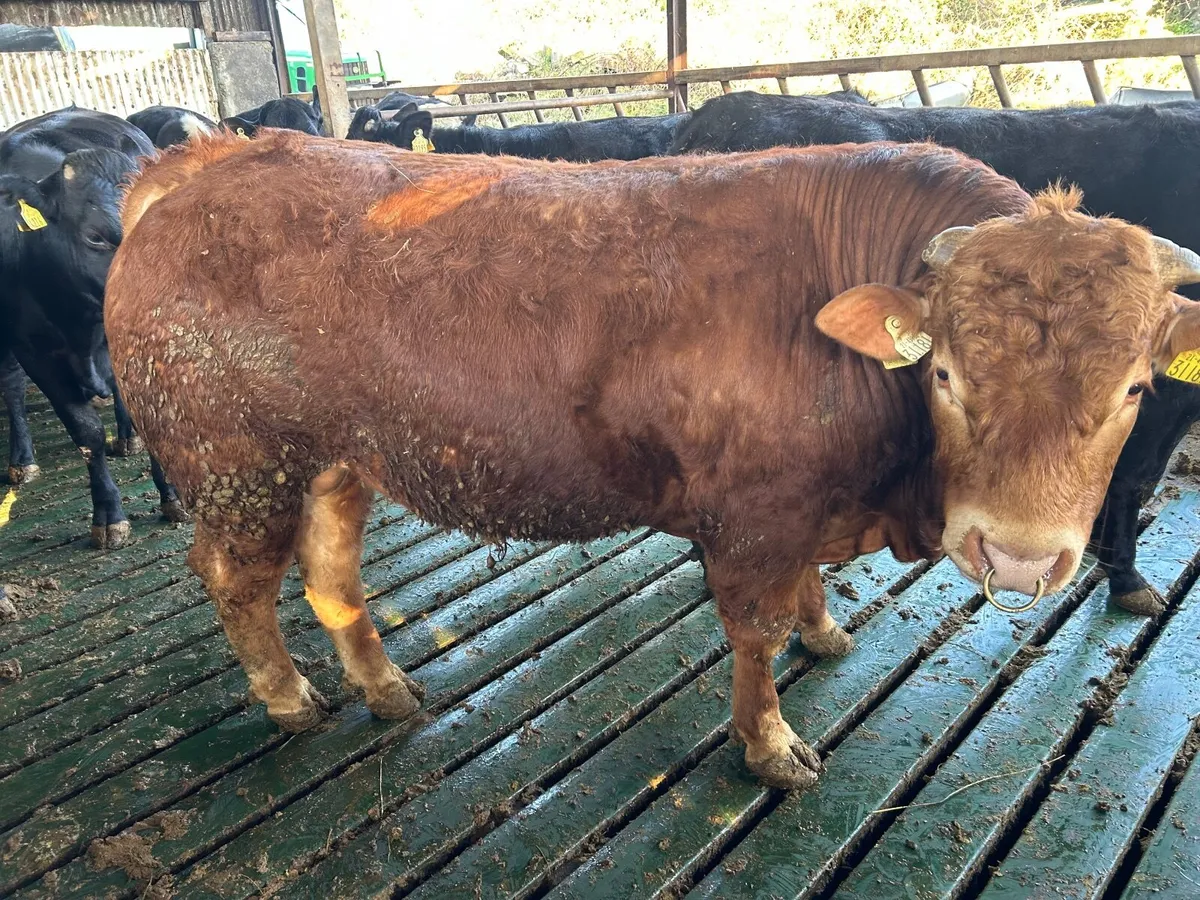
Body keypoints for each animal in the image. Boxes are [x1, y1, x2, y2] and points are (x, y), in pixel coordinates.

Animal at [0, 107, 184, 543]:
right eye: (95, 237)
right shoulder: (34, 352)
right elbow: (86, 433)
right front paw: (108, 513)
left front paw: (171, 494)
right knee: (12, 387)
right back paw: (22, 460)